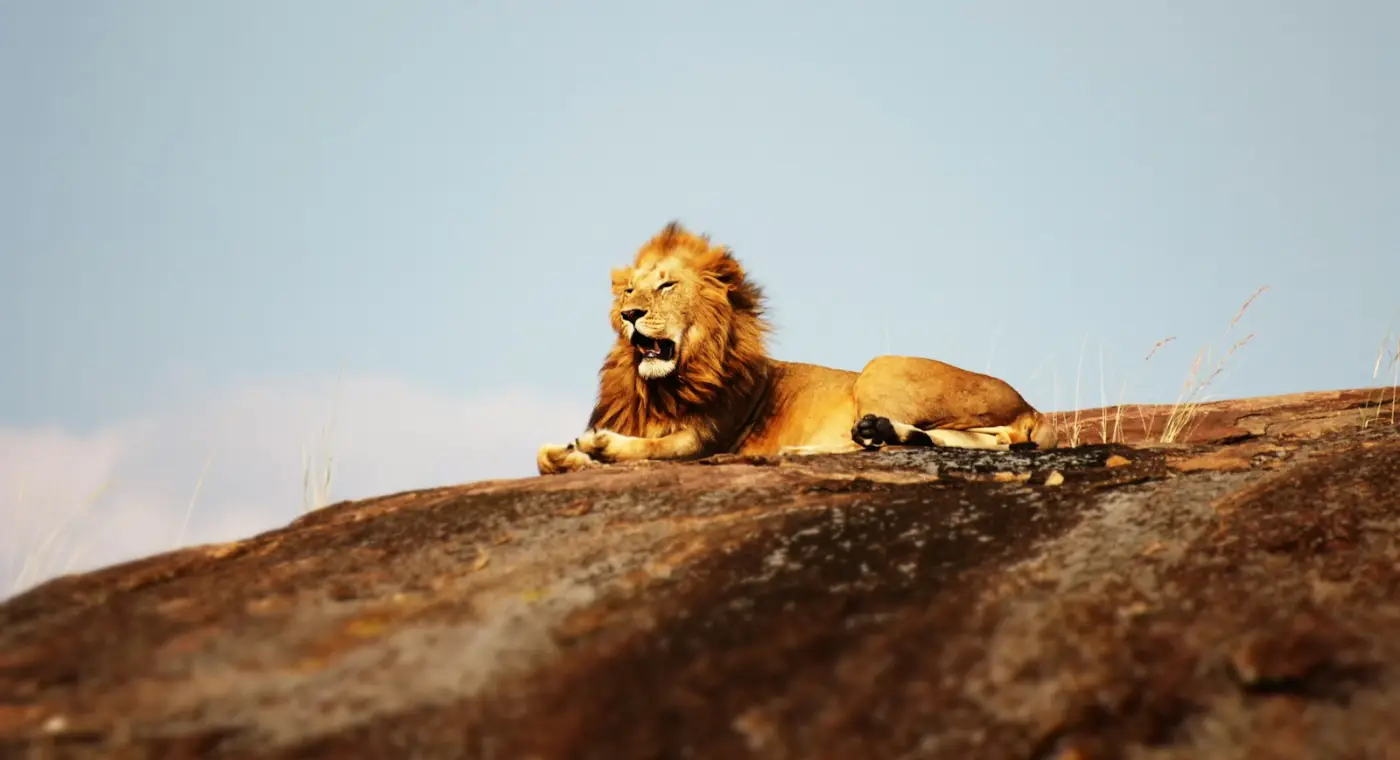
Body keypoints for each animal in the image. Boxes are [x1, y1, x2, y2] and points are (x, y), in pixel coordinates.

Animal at [536, 222, 1057, 475]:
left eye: (666, 286)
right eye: (628, 291)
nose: (630, 315)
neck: (660, 387)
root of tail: (1033, 407)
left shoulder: (705, 439)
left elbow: (651, 447)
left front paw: (599, 445)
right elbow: (543, 456)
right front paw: (568, 454)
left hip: (880, 367)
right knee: (979, 439)